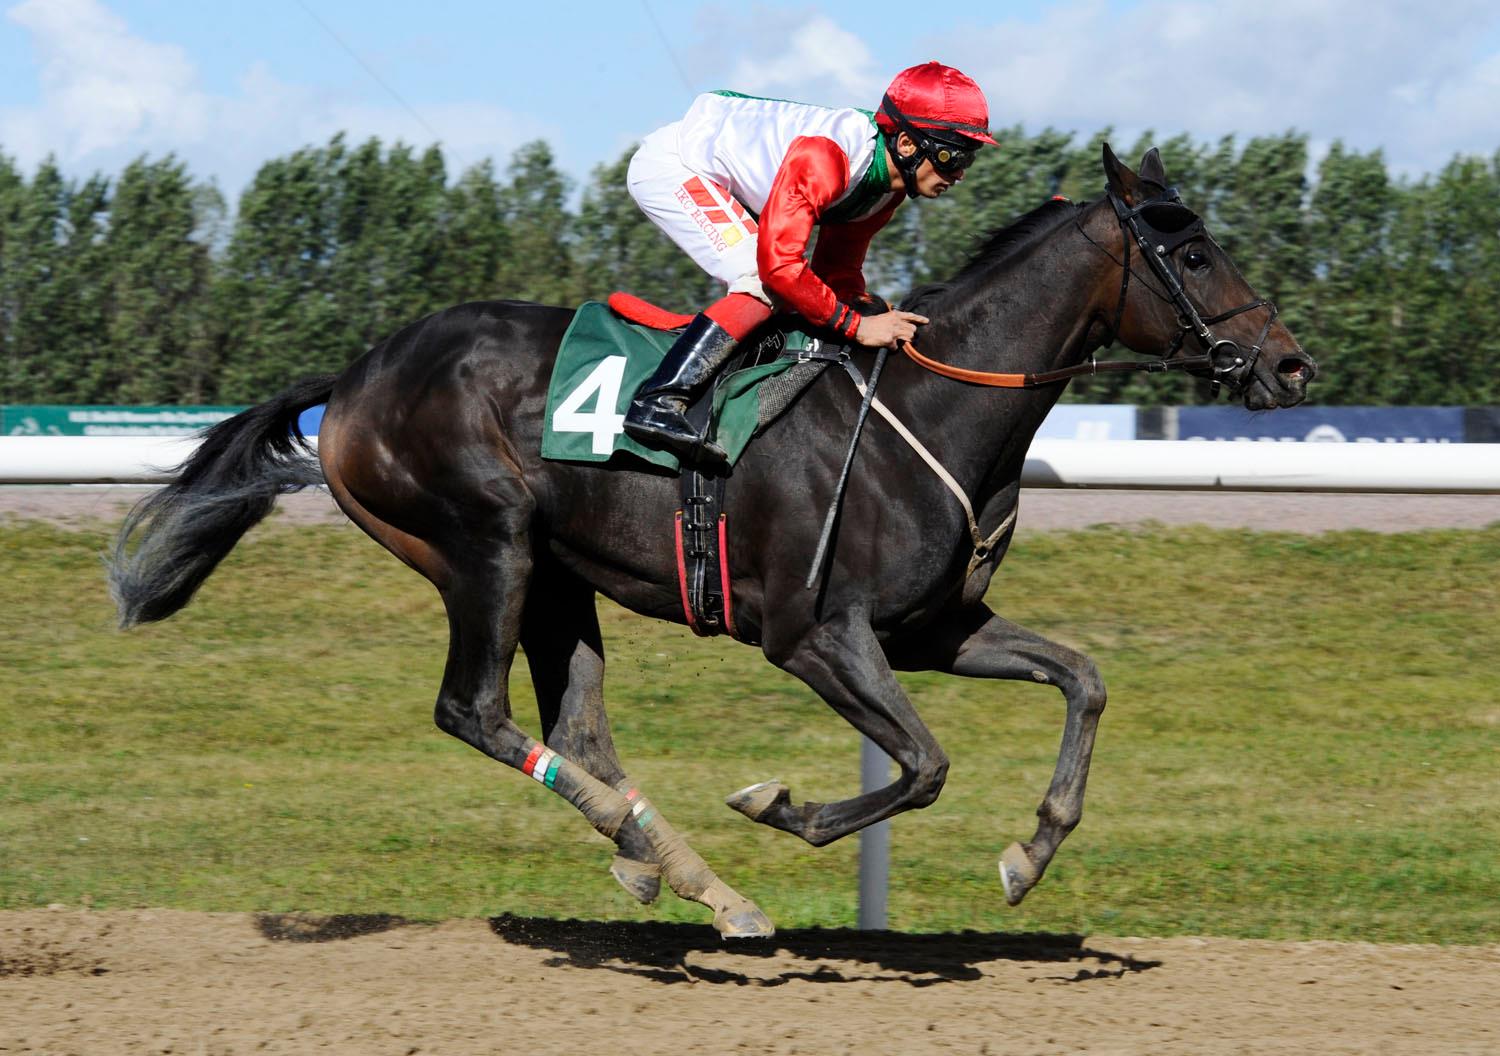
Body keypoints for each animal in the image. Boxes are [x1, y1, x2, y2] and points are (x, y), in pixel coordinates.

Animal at [111, 144, 1320, 936]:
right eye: (1194, 254)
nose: (1290, 366)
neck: (927, 412)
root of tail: (356, 377)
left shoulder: (933, 629)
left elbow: (1083, 679)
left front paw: (1030, 854)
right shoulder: (813, 633)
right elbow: (923, 765)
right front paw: (783, 806)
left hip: (558, 578)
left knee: (578, 730)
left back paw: (681, 875)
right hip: (483, 545)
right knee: (474, 712)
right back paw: (671, 861)